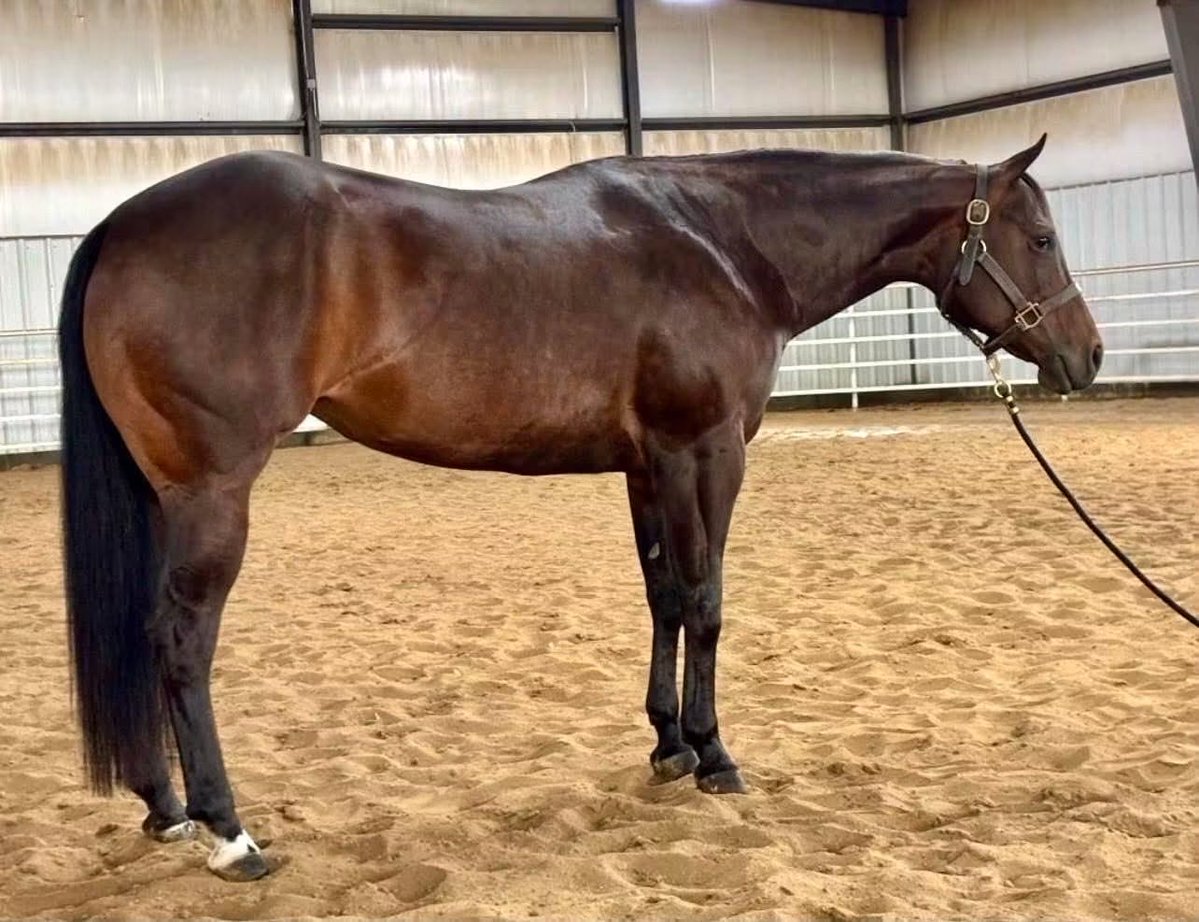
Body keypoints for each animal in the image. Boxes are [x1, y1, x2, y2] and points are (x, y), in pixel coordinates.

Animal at [58, 134, 1102, 881]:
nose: (1085, 358)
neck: (722, 244)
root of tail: (120, 223)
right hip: (212, 496)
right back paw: (230, 833)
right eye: (1041, 239)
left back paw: (165, 808)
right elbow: (708, 601)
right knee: (181, 642)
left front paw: (669, 744)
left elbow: (665, 597)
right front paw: (715, 755)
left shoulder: (646, 467)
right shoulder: (705, 453)